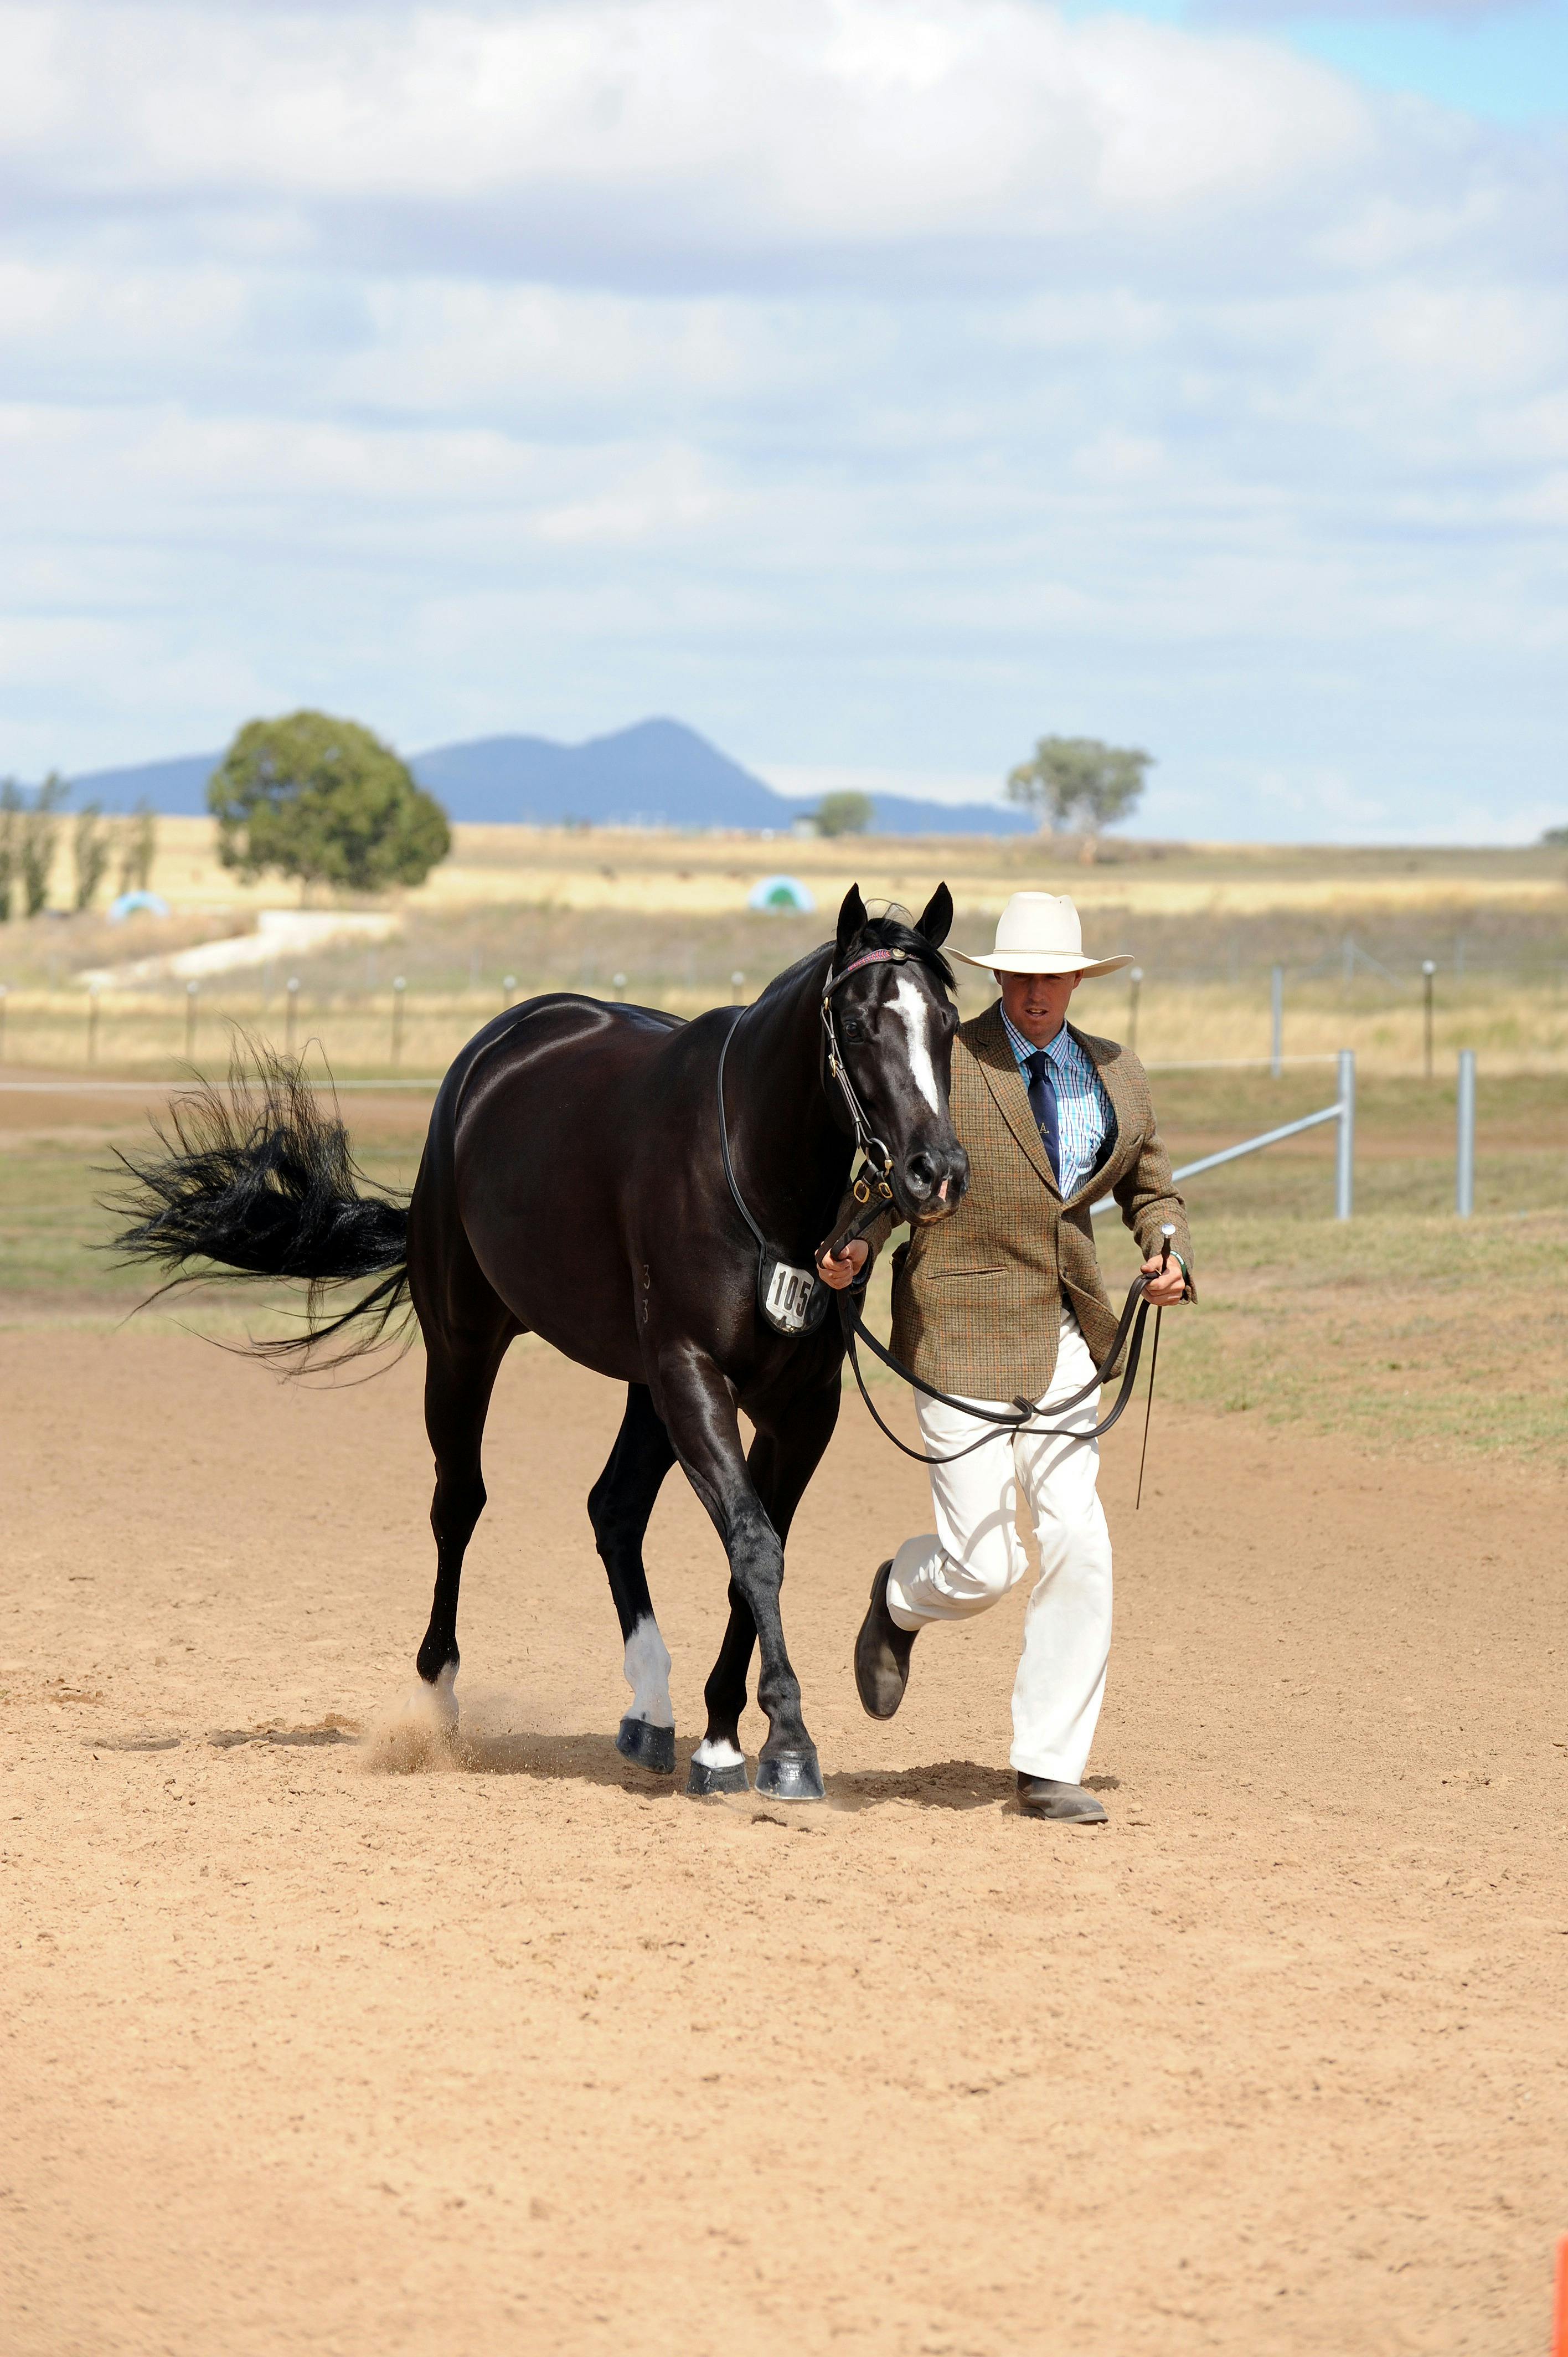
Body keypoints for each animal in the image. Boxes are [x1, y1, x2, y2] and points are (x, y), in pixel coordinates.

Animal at [110, 886, 962, 1800]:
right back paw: (436, 1702)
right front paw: (788, 1745)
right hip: (466, 1343)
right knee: (459, 1503)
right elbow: (754, 1545)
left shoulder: (803, 1407)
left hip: (641, 1386)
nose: (936, 1171)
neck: (753, 1170)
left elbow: (752, 1553)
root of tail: (498, 1048)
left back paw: (652, 1710)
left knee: (613, 1509)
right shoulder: (693, 1370)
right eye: (862, 1023)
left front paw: (726, 1736)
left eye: (949, 1021)